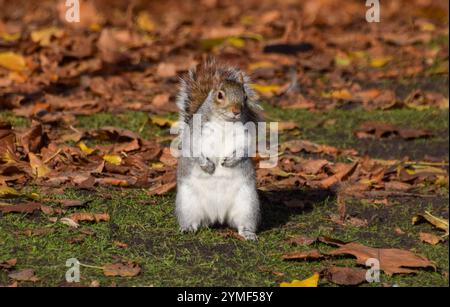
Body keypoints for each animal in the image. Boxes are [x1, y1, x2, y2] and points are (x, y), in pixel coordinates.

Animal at [175, 59, 260, 241]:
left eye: (245, 97)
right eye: (220, 95)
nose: (236, 111)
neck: (224, 121)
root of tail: (217, 216)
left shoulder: (245, 134)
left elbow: (245, 148)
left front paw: (231, 160)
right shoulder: (194, 132)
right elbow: (191, 148)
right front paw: (206, 165)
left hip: (247, 203)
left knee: (244, 223)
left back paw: (248, 233)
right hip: (188, 202)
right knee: (192, 220)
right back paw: (188, 228)